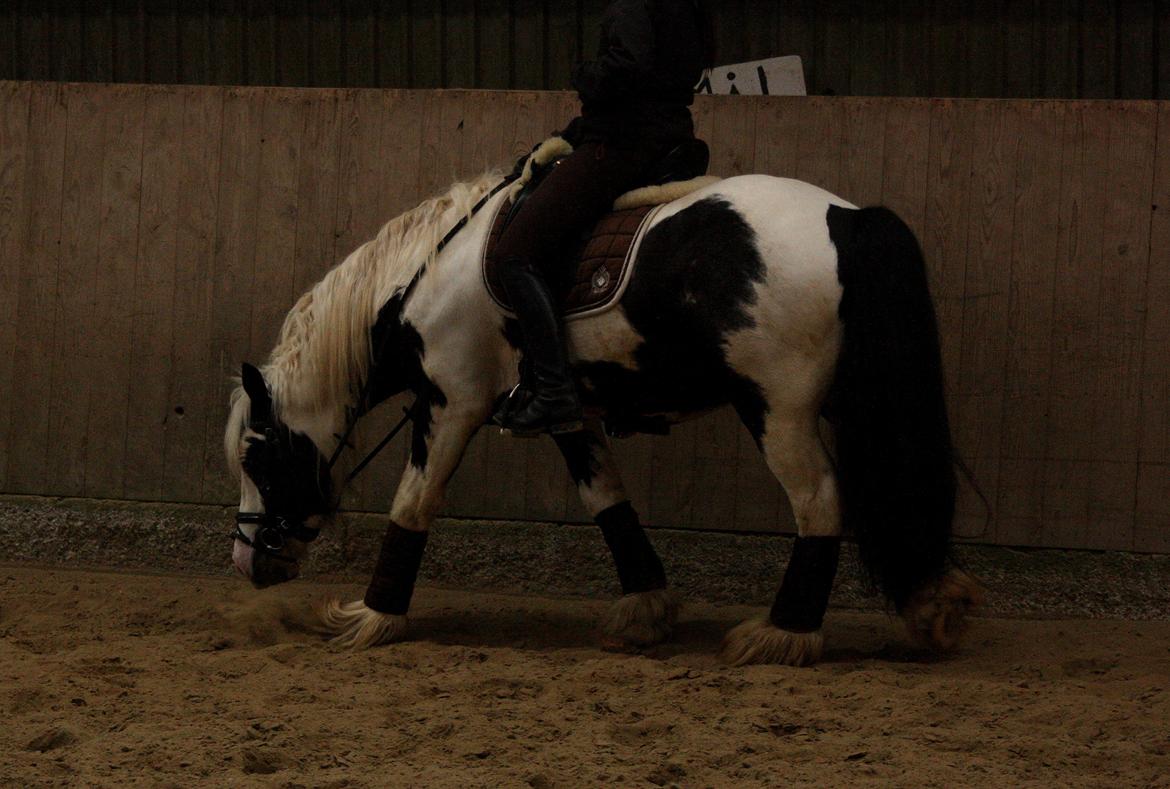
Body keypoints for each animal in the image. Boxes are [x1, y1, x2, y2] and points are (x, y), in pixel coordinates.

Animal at [223, 144, 982, 660]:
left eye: (258, 458)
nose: (248, 562)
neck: (424, 278)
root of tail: (847, 220)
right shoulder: (567, 412)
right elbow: (608, 502)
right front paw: (645, 607)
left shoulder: (450, 400)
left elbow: (414, 503)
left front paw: (373, 616)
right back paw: (928, 603)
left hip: (776, 406)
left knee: (820, 499)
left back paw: (783, 632)